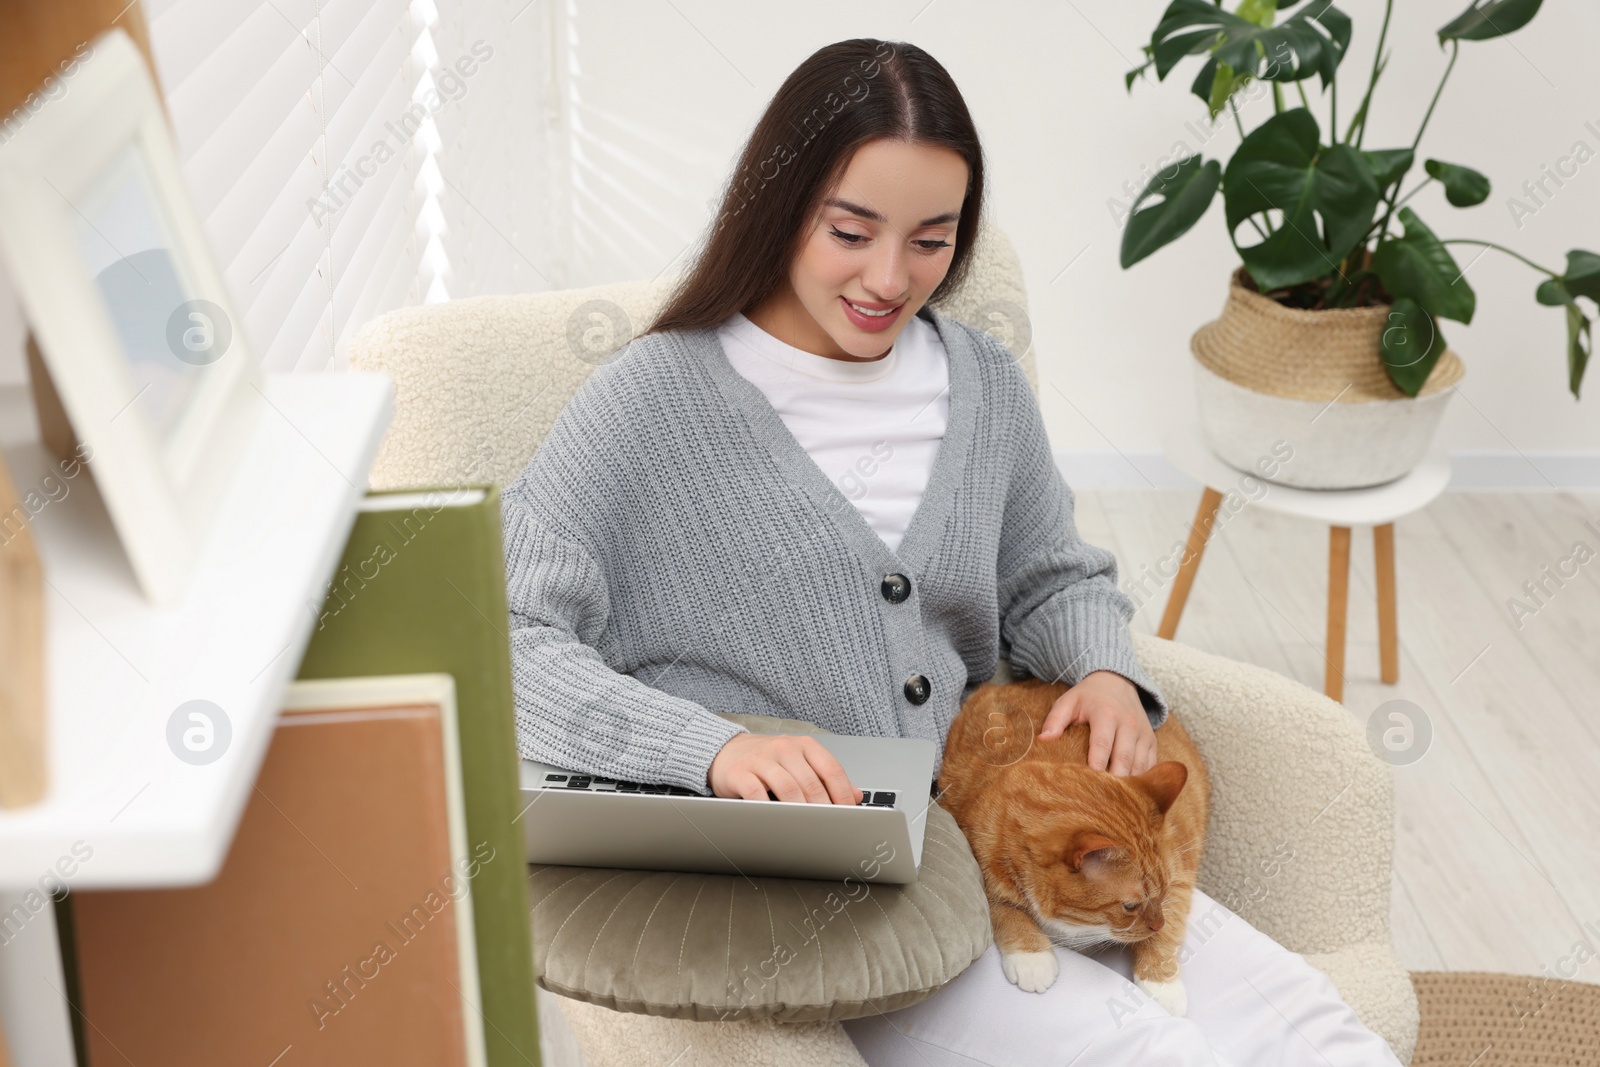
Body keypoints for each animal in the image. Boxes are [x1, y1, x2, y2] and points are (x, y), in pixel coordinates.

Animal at [934, 681, 1203, 1017]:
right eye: (1129, 906)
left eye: (1162, 894)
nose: (1156, 925)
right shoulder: (977, 859)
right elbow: (1003, 908)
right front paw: (1032, 956)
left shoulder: (1181, 871)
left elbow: (1173, 922)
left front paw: (1162, 982)